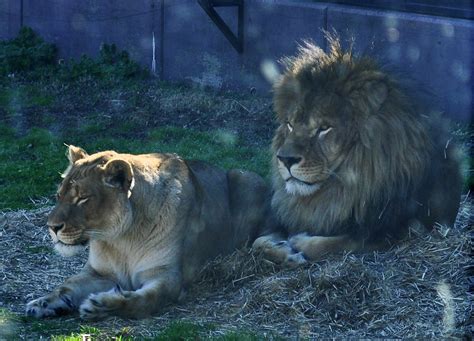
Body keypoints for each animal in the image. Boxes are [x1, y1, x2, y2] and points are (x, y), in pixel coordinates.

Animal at [26, 145, 270, 318]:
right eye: (59, 195)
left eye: (83, 198)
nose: (51, 227)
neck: (120, 240)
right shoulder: (100, 273)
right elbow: (68, 284)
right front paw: (42, 303)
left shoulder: (167, 276)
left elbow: (142, 301)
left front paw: (102, 305)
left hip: (246, 177)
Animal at [254, 35, 462, 264]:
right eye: (290, 124)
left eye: (324, 127)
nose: (285, 159)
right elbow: (258, 242)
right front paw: (284, 251)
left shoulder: (395, 231)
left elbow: (334, 244)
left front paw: (299, 243)